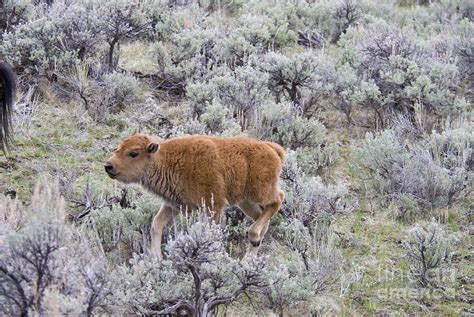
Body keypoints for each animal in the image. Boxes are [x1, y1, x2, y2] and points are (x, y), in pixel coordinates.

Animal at [106, 133, 286, 256]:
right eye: (118, 149)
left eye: (133, 153)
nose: (108, 166)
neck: (164, 159)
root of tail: (272, 148)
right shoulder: (174, 205)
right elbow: (156, 224)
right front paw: (156, 257)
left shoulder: (213, 207)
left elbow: (211, 234)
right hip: (245, 201)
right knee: (262, 217)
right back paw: (249, 257)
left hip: (260, 192)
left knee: (278, 199)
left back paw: (253, 237)